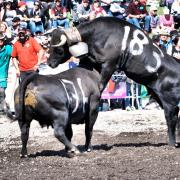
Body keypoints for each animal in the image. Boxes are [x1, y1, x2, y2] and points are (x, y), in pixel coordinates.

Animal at [47, 16, 180, 146]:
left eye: (59, 50)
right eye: (49, 46)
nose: (49, 63)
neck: (96, 35)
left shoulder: (109, 65)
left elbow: (101, 85)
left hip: (169, 101)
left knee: (171, 117)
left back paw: (172, 143)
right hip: (157, 95)